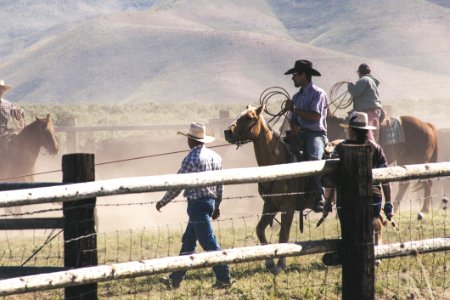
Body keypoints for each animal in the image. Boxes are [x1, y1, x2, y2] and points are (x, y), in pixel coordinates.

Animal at [225, 105, 320, 274]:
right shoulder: (270, 205)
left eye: (249, 117)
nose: (227, 132)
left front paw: (280, 264)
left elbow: (284, 235)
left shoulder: (288, 207)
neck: (277, 163)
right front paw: (269, 261)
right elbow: (260, 229)